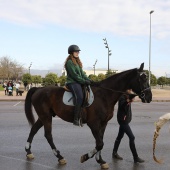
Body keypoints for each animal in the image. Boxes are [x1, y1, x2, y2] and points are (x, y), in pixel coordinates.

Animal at [24, 62, 152, 169]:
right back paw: (59, 157)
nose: (149, 97)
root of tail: (39, 89)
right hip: (46, 116)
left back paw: (29, 152)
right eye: (142, 78)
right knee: (48, 135)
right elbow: (100, 143)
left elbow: (100, 141)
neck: (104, 95)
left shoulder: (103, 123)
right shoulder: (93, 123)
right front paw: (86, 157)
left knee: (34, 129)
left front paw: (100, 160)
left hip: (44, 116)